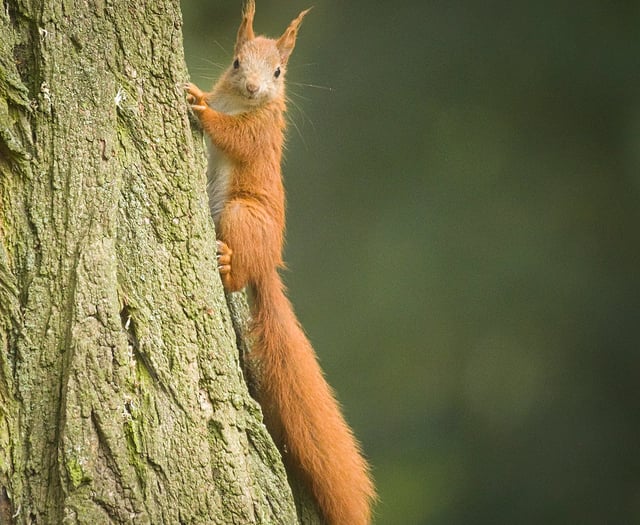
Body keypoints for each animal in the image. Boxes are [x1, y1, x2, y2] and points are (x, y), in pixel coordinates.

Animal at [184, 2, 376, 520]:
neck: (241, 104)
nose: (254, 87)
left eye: (278, 72)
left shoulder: (260, 134)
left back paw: (227, 262)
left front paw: (200, 106)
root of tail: (267, 262)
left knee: (236, 278)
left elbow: (234, 137)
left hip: (240, 214)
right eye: (236, 62)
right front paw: (200, 93)